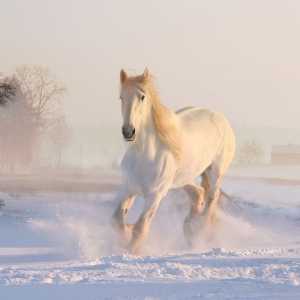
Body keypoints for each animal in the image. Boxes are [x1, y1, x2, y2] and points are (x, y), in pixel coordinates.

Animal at [111, 68, 236, 253]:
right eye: (121, 97)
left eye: (142, 97)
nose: (128, 131)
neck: (145, 155)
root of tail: (220, 117)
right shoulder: (129, 188)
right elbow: (117, 220)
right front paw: (126, 233)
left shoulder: (155, 195)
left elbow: (140, 228)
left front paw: (131, 250)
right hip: (183, 178)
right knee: (198, 193)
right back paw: (190, 227)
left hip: (215, 172)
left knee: (212, 199)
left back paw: (199, 232)